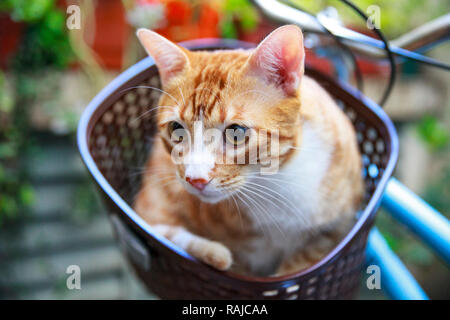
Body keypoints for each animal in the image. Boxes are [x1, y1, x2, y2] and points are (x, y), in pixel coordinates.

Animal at [133, 25, 362, 276]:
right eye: (176, 128)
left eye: (236, 132)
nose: (195, 179)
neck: (278, 179)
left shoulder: (333, 232)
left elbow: (296, 267)